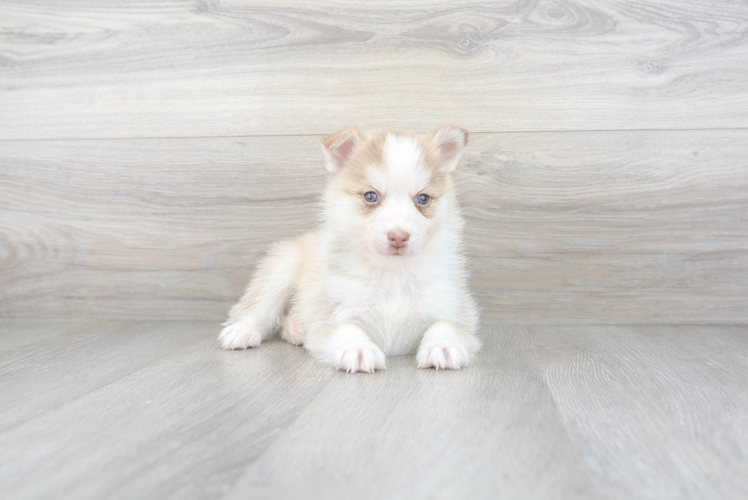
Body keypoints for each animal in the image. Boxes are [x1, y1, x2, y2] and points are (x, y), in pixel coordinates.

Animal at [219, 127, 482, 374]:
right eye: (371, 196)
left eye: (423, 199)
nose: (398, 236)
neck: (390, 273)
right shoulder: (331, 307)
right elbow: (344, 329)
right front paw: (357, 349)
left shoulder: (452, 304)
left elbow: (446, 326)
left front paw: (443, 346)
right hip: (282, 268)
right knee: (256, 308)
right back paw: (243, 331)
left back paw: (295, 328)